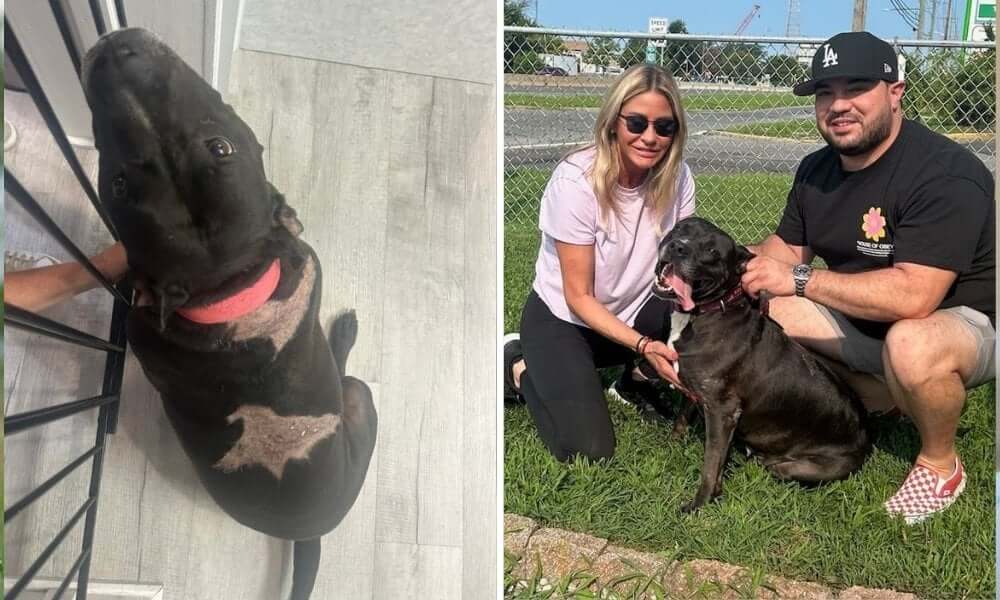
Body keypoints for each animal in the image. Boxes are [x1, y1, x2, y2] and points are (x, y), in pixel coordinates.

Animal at [82, 28, 376, 600]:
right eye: (119, 184)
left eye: (221, 148)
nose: (114, 56)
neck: (228, 293)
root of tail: (308, 532)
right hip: (359, 396)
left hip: (359, 398)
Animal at [648, 216, 868, 510]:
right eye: (680, 229)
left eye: (712, 251)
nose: (678, 246)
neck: (709, 312)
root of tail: (866, 440)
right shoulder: (696, 392)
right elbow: (682, 419)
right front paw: (672, 446)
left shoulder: (722, 411)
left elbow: (711, 464)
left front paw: (700, 503)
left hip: (797, 467)